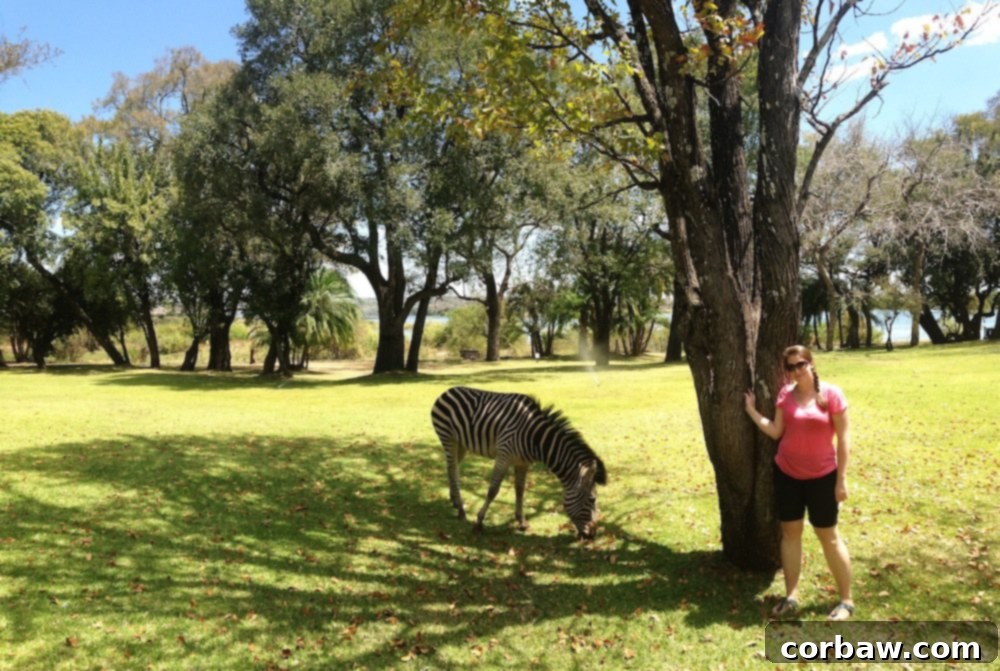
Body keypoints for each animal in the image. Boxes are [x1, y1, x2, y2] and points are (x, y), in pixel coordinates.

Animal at [430, 386, 607, 539]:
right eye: (592, 500)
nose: (592, 535)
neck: (535, 438)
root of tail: (448, 390)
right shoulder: (503, 456)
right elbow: (493, 490)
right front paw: (479, 521)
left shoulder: (522, 462)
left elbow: (520, 490)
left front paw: (521, 522)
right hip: (448, 439)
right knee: (454, 469)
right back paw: (461, 509)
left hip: (461, 445)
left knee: (451, 467)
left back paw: (454, 500)